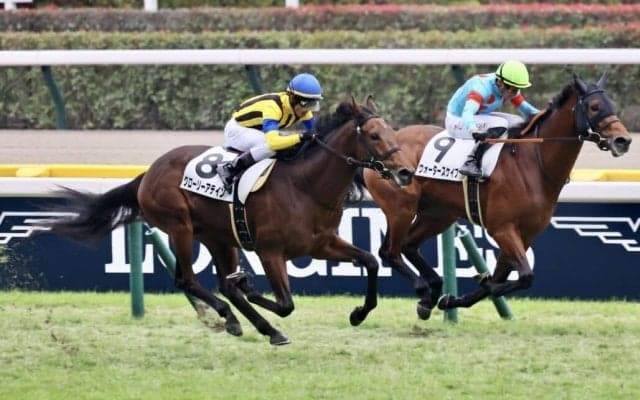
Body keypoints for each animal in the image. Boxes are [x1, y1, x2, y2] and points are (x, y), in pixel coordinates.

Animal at [44, 96, 415, 345]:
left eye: (392, 131)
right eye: (373, 135)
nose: (405, 172)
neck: (306, 186)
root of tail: (148, 172)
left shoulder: (321, 244)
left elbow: (369, 261)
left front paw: (359, 313)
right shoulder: (270, 252)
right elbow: (285, 303)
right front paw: (249, 287)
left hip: (219, 237)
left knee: (220, 283)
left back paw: (253, 324)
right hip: (180, 226)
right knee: (187, 280)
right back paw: (241, 318)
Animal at [361, 73, 632, 318]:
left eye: (611, 105)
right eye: (594, 106)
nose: (624, 140)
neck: (534, 162)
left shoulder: (526, 233)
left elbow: (504, 277)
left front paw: (455, 298)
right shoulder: (502, 228)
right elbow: (523, 276)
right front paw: (479, 283)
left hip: (439, 214)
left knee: (408, 245)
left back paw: (431, 294)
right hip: (401, 208)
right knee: (390, 251)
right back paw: (424, 290)